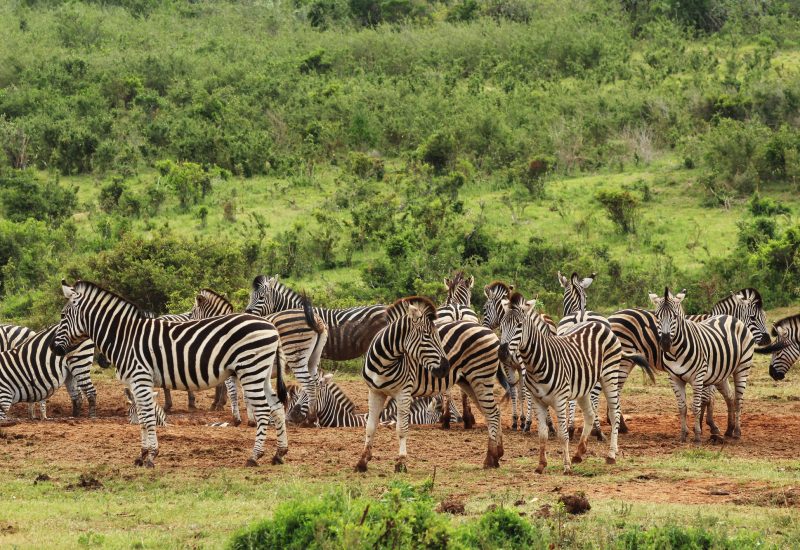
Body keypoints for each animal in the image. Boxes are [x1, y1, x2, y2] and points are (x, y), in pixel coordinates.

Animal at [50, 282, 288, 468]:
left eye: (62, 316)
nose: (53, 348)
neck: (125, 336)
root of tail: (271, 327)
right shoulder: (135, 382)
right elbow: (142, 418)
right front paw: (142, 455)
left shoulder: (141, 378)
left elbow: (148, 418)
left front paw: (151, 457)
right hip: (262, 373)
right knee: (277, 407)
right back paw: (279, 454)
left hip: (250, 370)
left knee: (264, 410)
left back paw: (254, 456)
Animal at [358, 298, 506, 474]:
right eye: (426, 336)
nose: (445, 368)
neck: (385, 362)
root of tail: (489, 331)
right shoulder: (375, 391)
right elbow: (370, 427)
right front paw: (362, 462)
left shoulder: (403, 393)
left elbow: (401, 429)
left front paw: (401, 463)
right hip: (469, 382)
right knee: (494, 413)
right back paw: (497, 455)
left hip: (481, 378)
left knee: (492, 414)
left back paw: (490, 459)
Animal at [496, 292, 652, 476]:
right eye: (501, 326)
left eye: (519, 325)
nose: (502, 353)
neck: (536, 364)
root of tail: (597, 323)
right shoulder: (537, 401)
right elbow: (542, 434)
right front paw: (541, 465)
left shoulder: (560, 400)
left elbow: (563, 435)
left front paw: (566, 466)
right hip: (584, 386)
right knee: (590, 415)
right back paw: (579, 453)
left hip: (610, 376)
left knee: (614, 413)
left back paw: (611, 455)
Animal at [648, 288, 756, 444]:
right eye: (657, 316)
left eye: (675, 316)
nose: (665, 343)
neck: (675, 352)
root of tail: (731, 317)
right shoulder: (674, 378)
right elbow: (682, 407)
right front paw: (683, 435)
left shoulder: (697, 378)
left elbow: (696, 407)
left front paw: (697, 436)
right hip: (720, 374)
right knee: (730, 397)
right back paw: (729, 430)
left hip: (742, 367)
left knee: (738, 400)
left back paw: (736, 432)